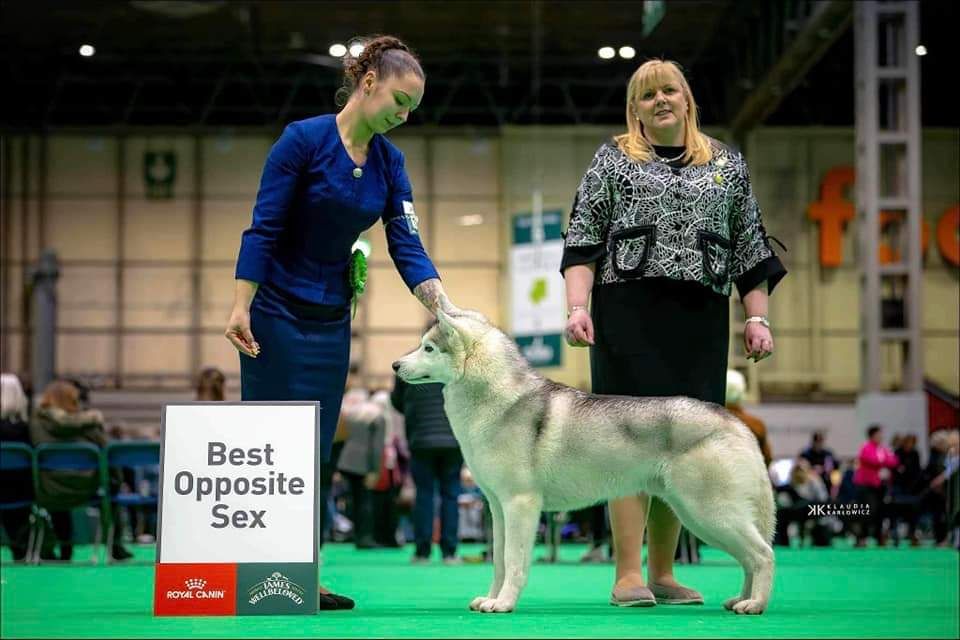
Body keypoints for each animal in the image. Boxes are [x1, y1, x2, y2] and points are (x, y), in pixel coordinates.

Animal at [394, 310, 776, 616]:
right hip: (699, 517)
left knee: (763, 554)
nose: (395, 365)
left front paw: (503, 604)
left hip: (710, 515)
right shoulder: (497, 508)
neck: (495, 399)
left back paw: (755, 605)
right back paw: (740, 600)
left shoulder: (520, 505)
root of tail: (734, 421)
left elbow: (514, 561)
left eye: (428, 348)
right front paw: (490, 598)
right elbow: (499, 561)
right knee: (749, 558)